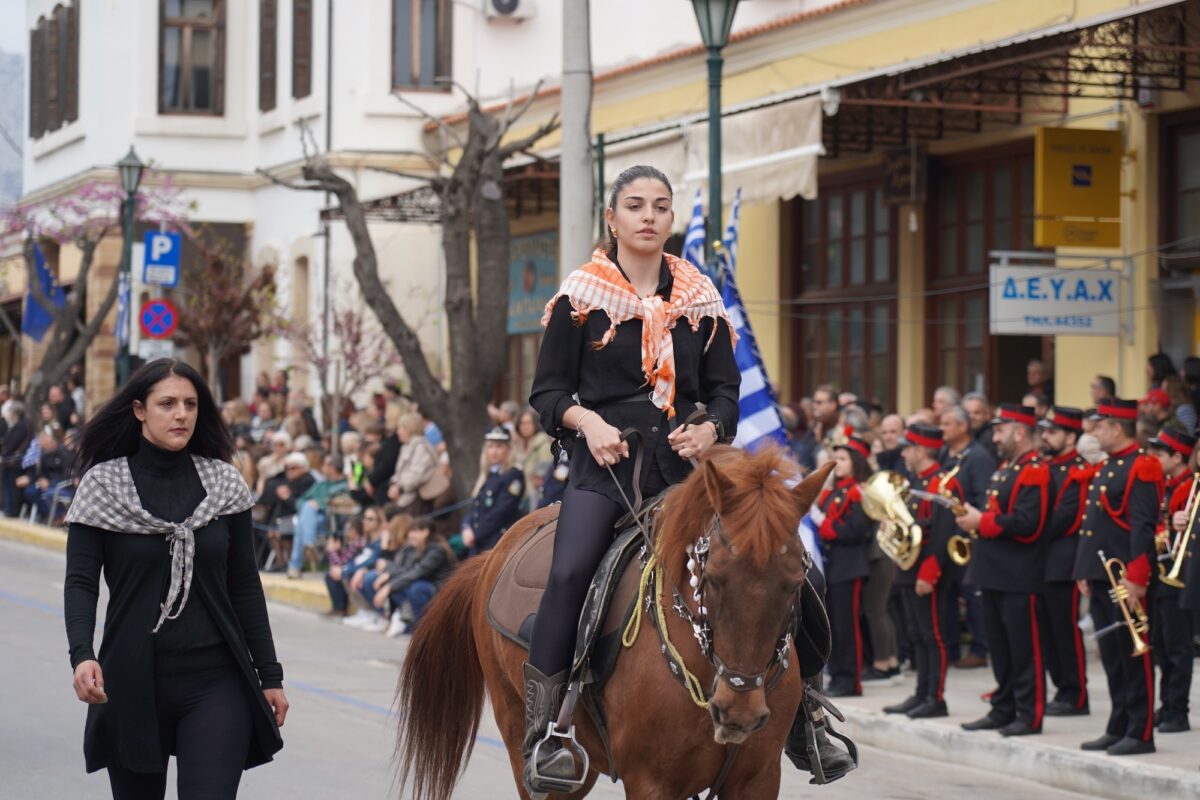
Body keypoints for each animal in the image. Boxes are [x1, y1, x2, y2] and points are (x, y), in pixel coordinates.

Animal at [398, 448, 830, 796]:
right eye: (712, 578)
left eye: (795, 583)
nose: (739, 712)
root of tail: (492, 553)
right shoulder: (651, 783)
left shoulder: (757, 781)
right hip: (519, 733)